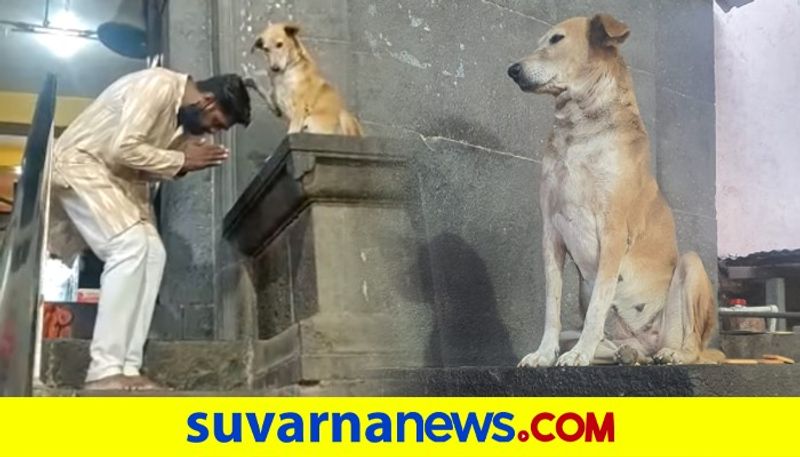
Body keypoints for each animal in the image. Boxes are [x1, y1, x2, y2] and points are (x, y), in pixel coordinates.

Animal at [512, 12, 724, 366]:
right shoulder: (551, 232)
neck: (578, 132)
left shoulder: (613, 231)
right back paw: (625, 354)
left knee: (692, 344)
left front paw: (578, 355)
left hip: (691, 268)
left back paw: (672, 354)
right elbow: (552, 306)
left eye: (556, 39)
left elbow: (598, 304)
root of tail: (648, 343)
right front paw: (544, 354)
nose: (512, 69)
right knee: (611, 345)